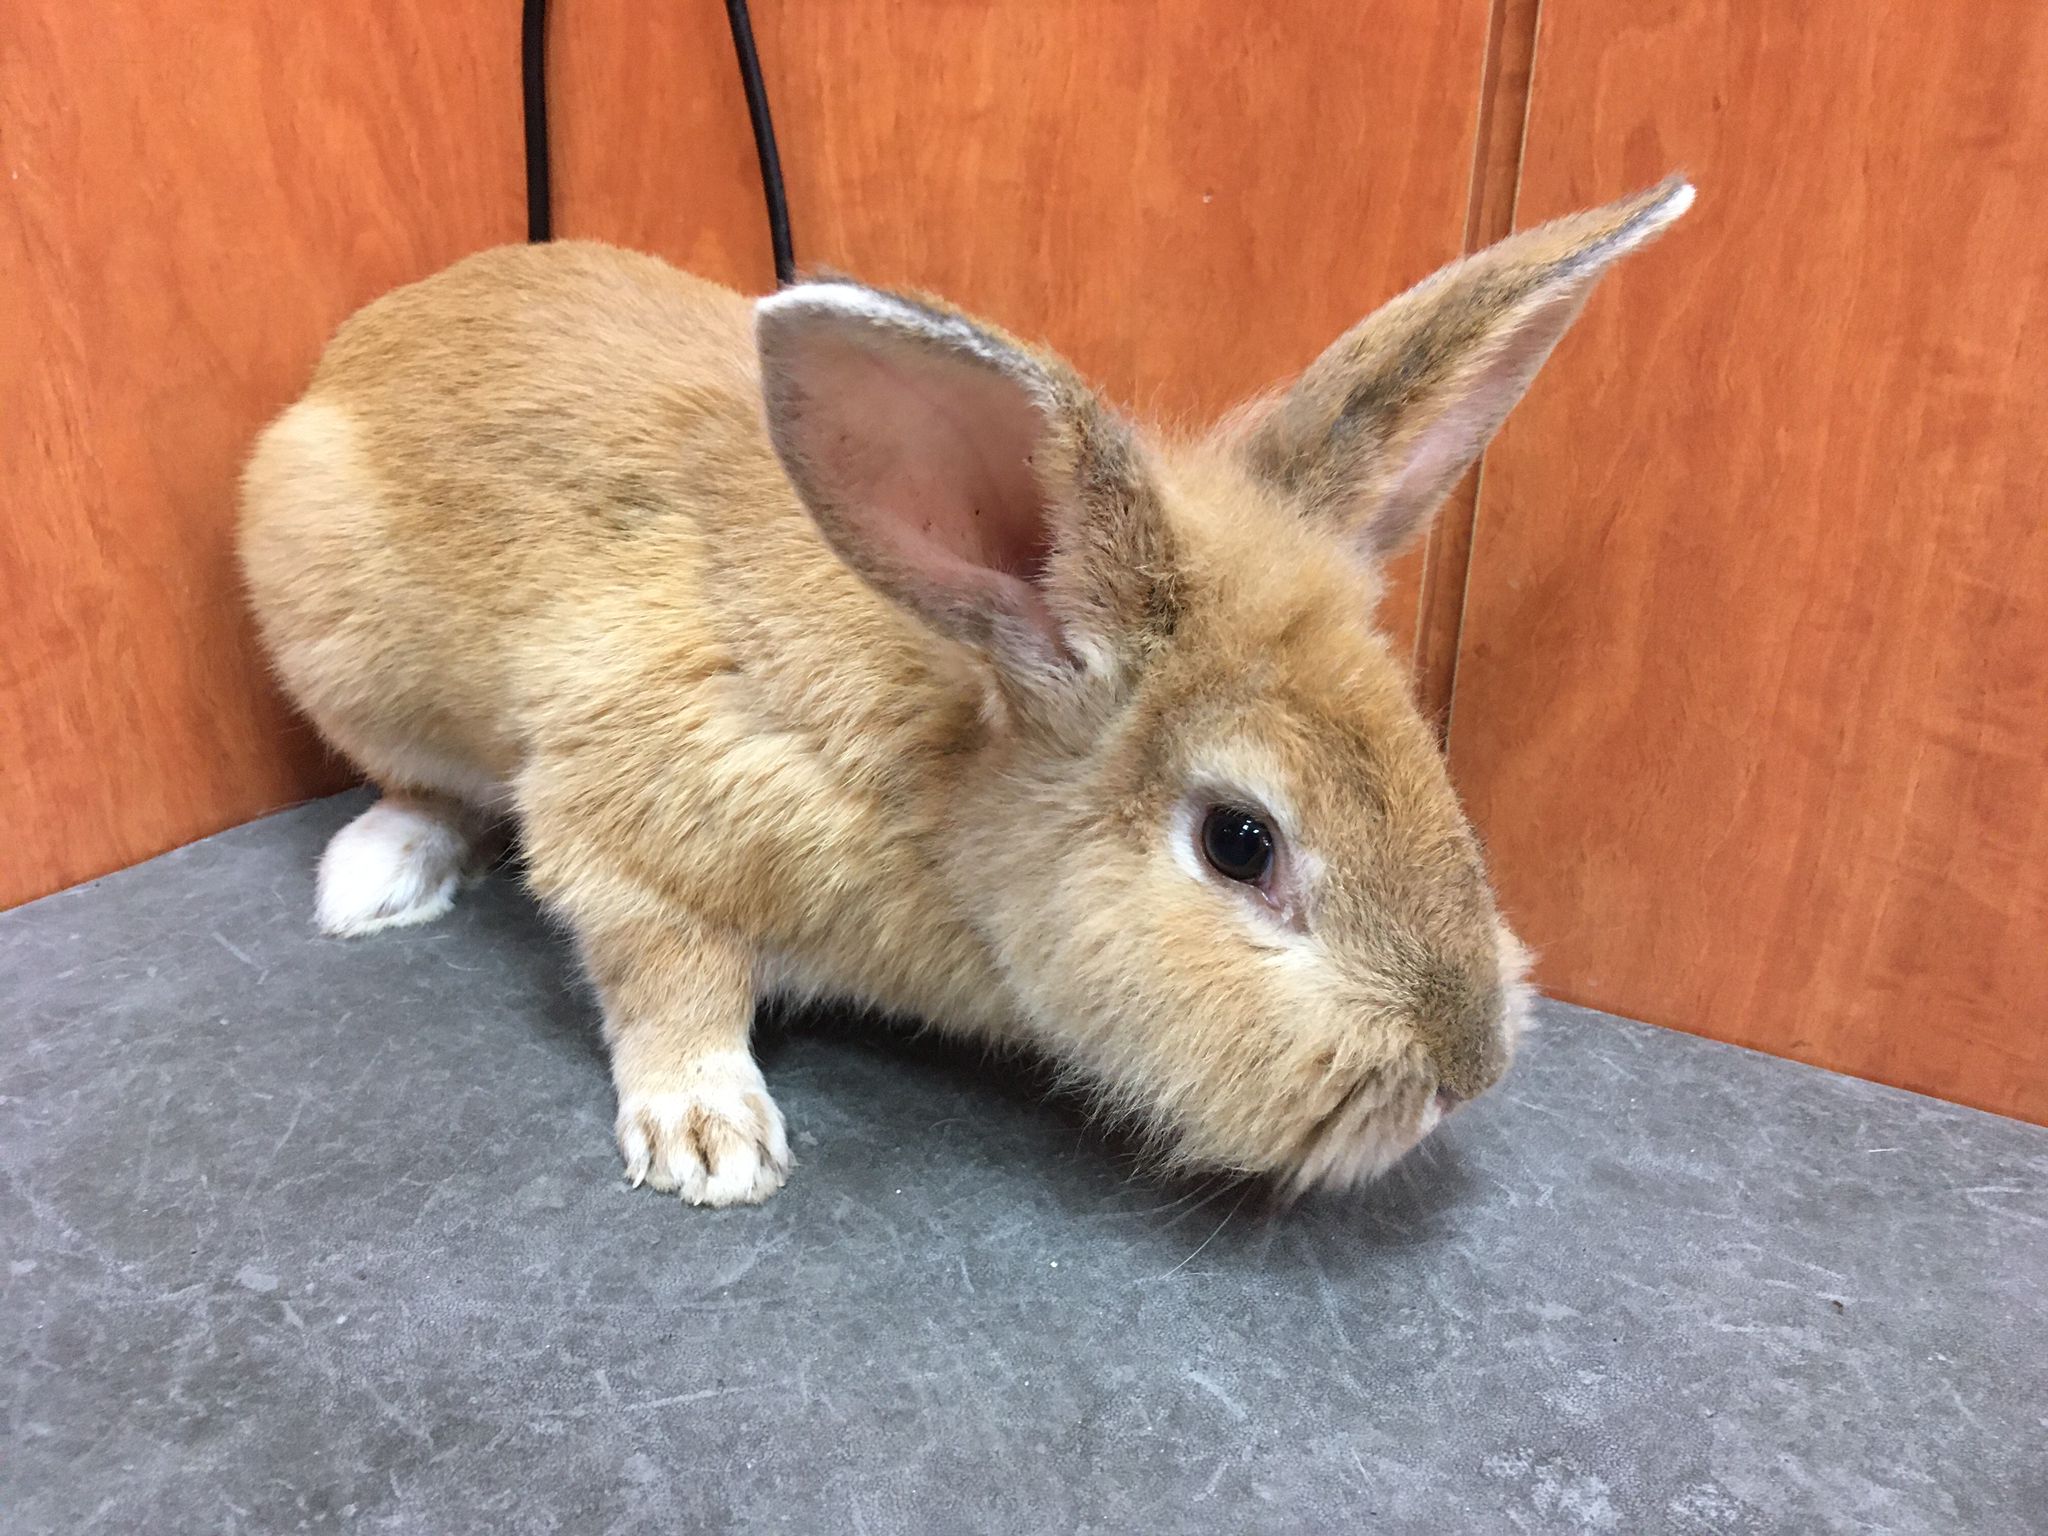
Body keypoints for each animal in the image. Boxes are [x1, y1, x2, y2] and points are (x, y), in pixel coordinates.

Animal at [238, 176, 1693, 1206]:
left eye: (1421, 750)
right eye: (1240, 842)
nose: (1466, 1071)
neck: (943, 772)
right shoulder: (632, 822)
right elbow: (662, 972)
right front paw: (710, 1138)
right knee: (418, 783)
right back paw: (376, 877)